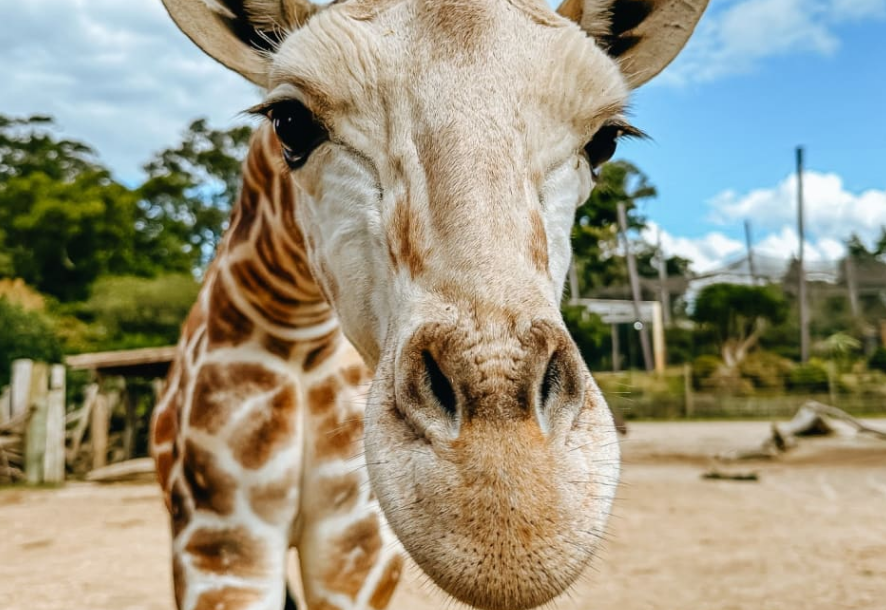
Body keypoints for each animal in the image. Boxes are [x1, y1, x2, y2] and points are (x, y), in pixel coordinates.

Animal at [151, 1, 708, 608]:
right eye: (291, 123)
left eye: (605, 141)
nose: (513, 492)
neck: (296, 327)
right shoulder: (217, 540)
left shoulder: (358, 547)